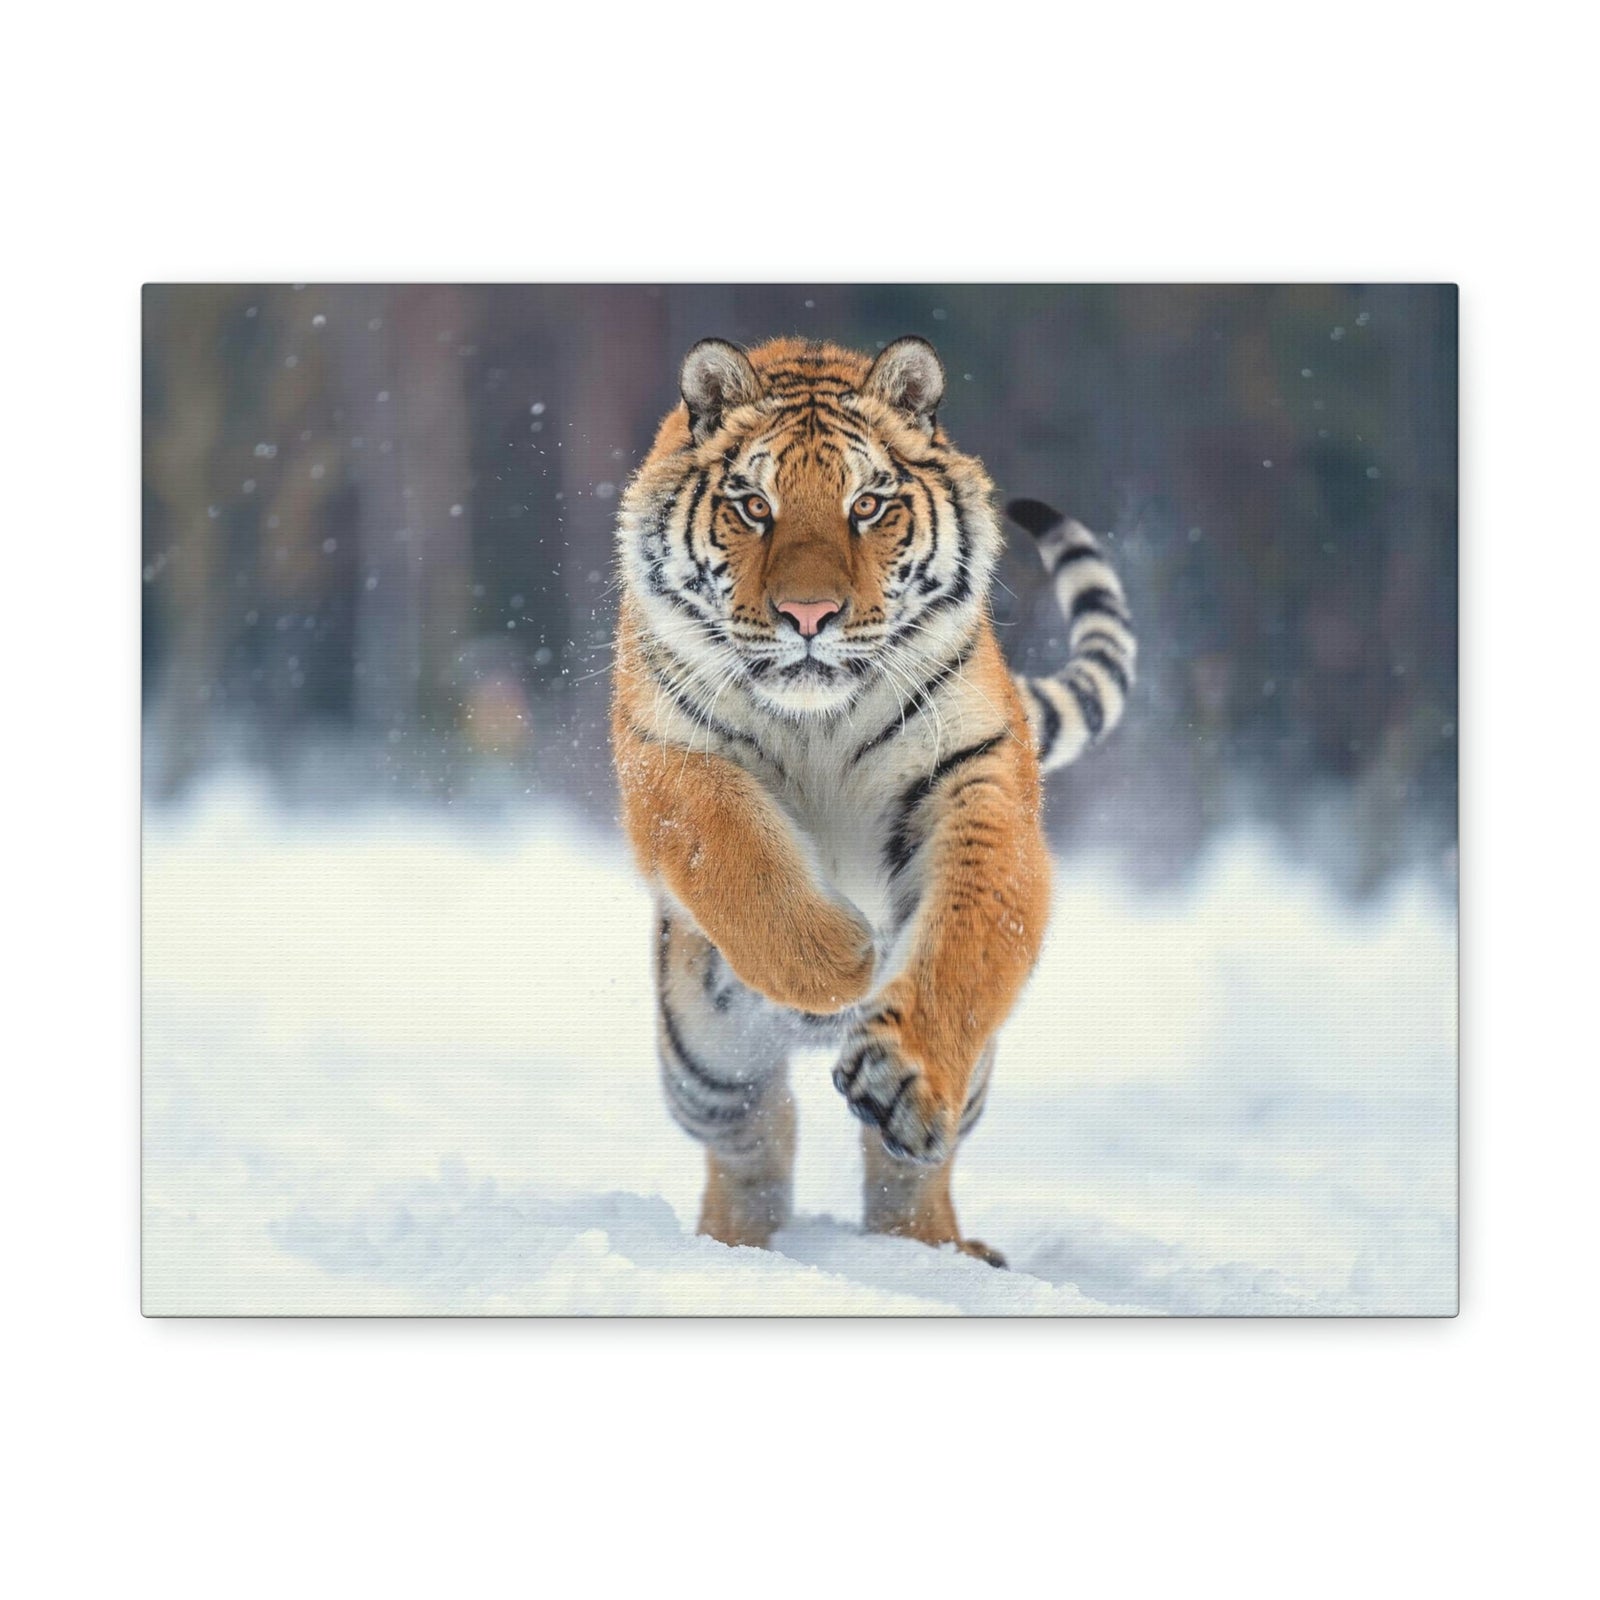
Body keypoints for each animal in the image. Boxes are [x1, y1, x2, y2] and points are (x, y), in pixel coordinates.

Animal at [610, 335, 1135, 1267]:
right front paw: (841, 958)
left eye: (868, 504)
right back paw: (733, 1248)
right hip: (703, 1061)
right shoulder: (668, 756)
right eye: (753, 504)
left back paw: (935, 1250)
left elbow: (969, 936)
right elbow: (735, 854)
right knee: (755, 1136)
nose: (808, 614)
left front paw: (902, 1072)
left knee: (906, 1169)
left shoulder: (975, 776)